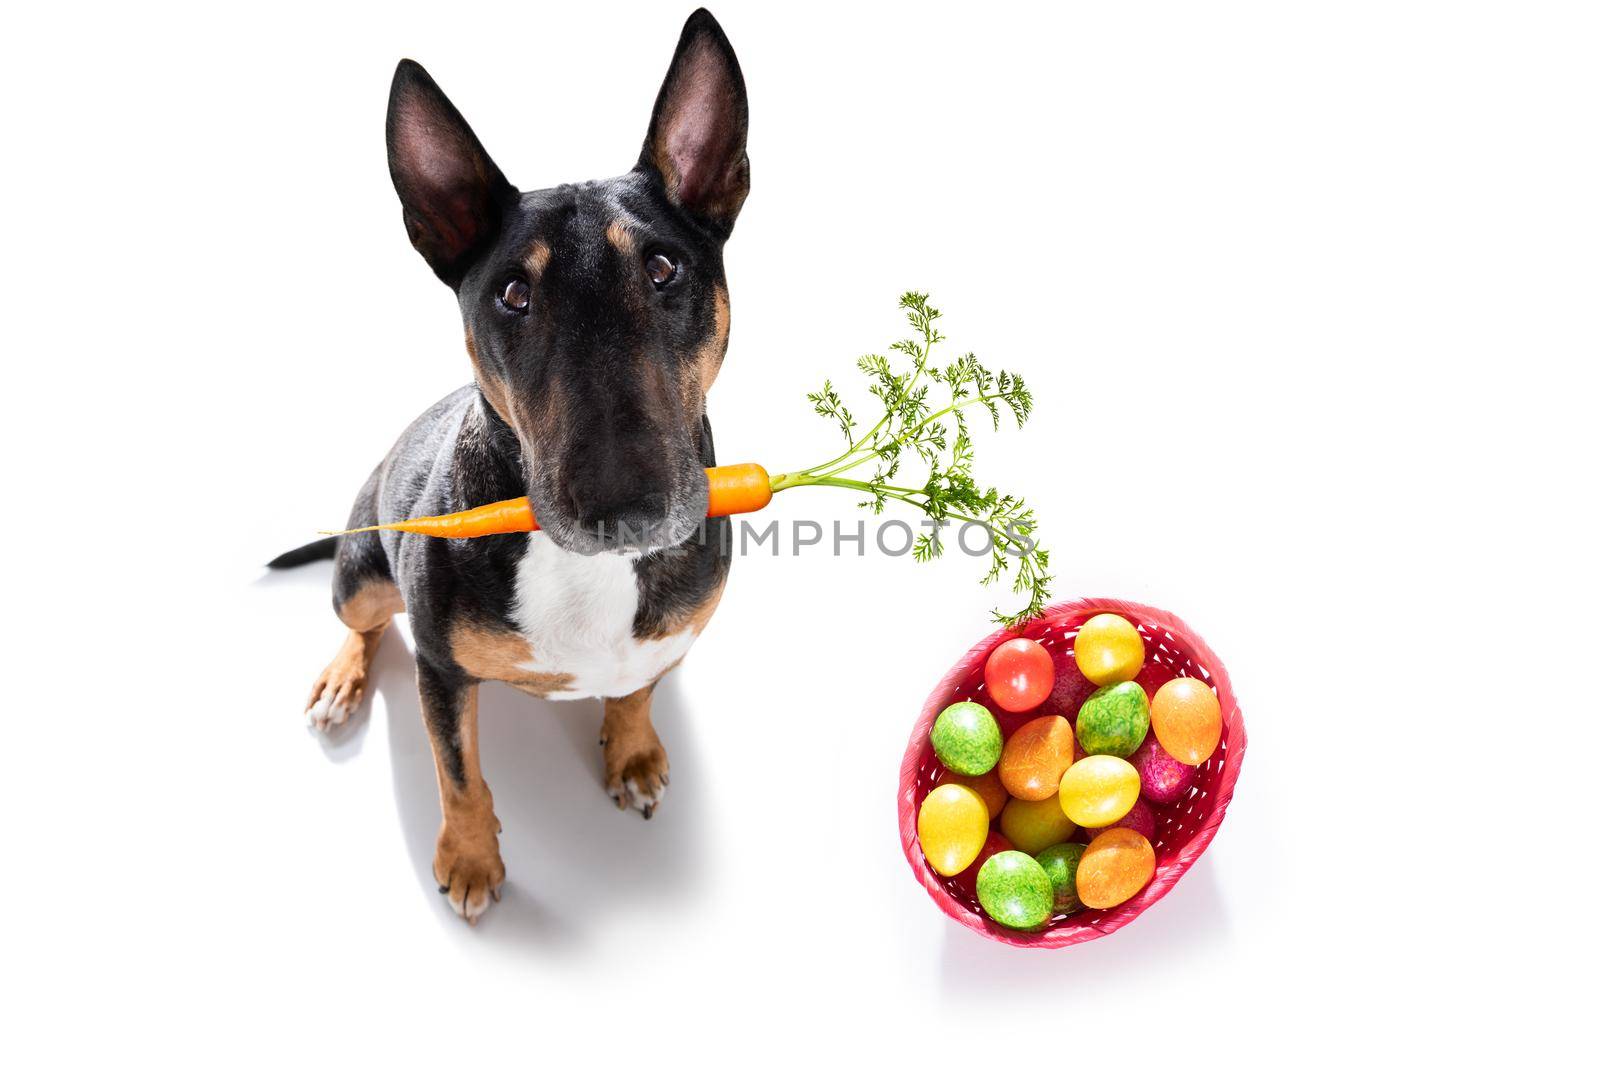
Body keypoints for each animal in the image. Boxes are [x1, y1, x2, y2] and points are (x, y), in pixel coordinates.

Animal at [268, 10, 748, 921]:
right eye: (513, 296)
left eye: (663, 268)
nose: (623, 509)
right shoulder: (440, 672)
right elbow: (458, 774)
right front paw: (470, 860)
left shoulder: (665, 636)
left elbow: (637, 687)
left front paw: (633, 752)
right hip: (362, 570)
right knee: (361, 620)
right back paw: (342, 681)